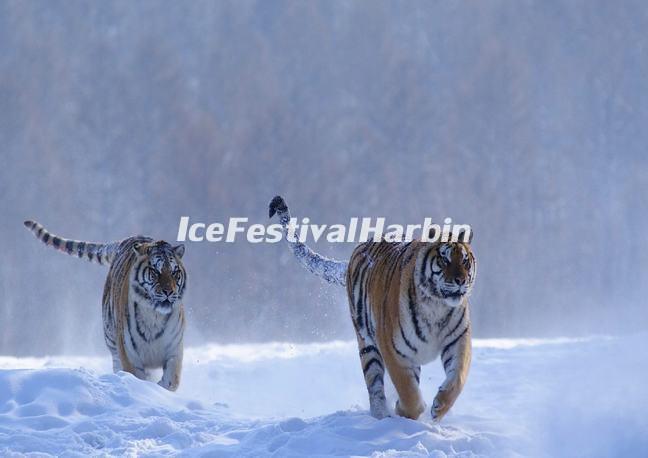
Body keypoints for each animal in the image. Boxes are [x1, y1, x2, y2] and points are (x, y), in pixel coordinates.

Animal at [24, 220, 186, 392]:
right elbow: (137, 377)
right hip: (112, 341)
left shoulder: (174, 349)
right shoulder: (130, 355)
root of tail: (126, 240)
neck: (154, 316)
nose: (169, 291)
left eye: (174, 272)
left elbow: (171, 379)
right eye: (155, 271)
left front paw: (161, 388)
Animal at [268, 195, 476, 420]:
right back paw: (381, 414)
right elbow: (407, 390)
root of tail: (358, 248)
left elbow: (457, 378)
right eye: (445, 259)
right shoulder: (392, 349)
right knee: (375, 386)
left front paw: (439, 407)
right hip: (367, 345)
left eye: (465, 261)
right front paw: (405, 411)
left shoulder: (458, 340)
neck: (437, 306)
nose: (461, 280)